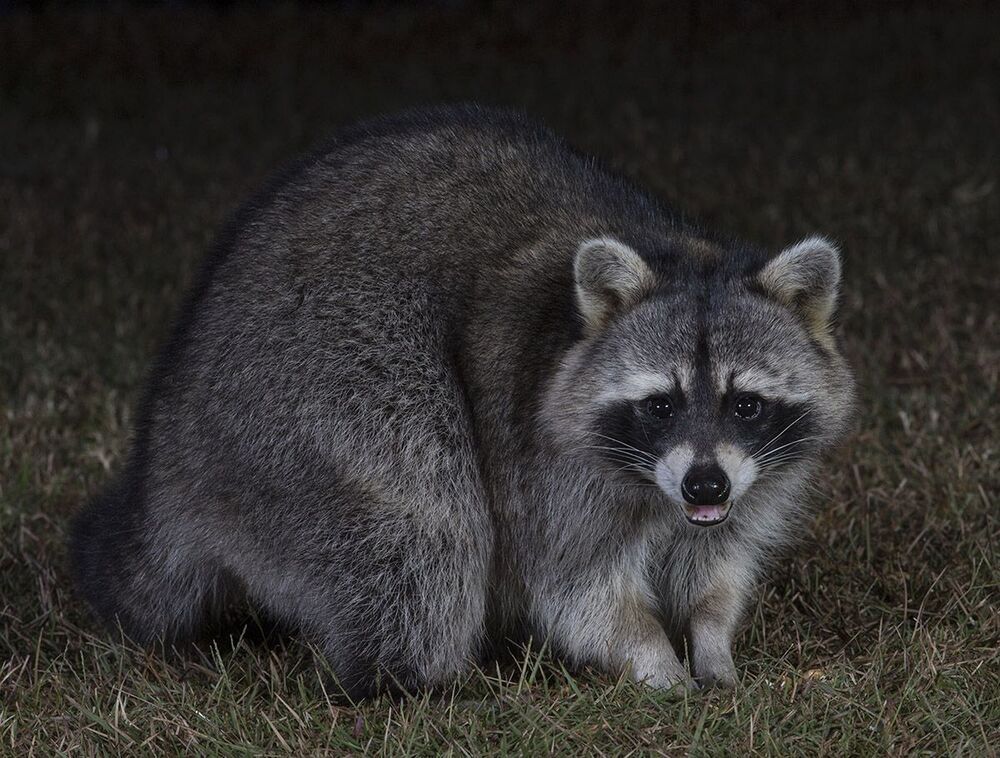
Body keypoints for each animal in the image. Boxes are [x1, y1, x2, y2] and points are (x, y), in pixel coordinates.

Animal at [70, 105, 855, 697]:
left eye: (745, 404)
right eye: (661, 404)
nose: (704, 484)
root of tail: (169, 439)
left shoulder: (750, 478)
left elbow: (716, 562)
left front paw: (711, 642)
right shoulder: (546, 465)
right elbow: (580, 590)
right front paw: (655, 661)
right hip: (307, 388)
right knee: (425, 522)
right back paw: (423, 681)